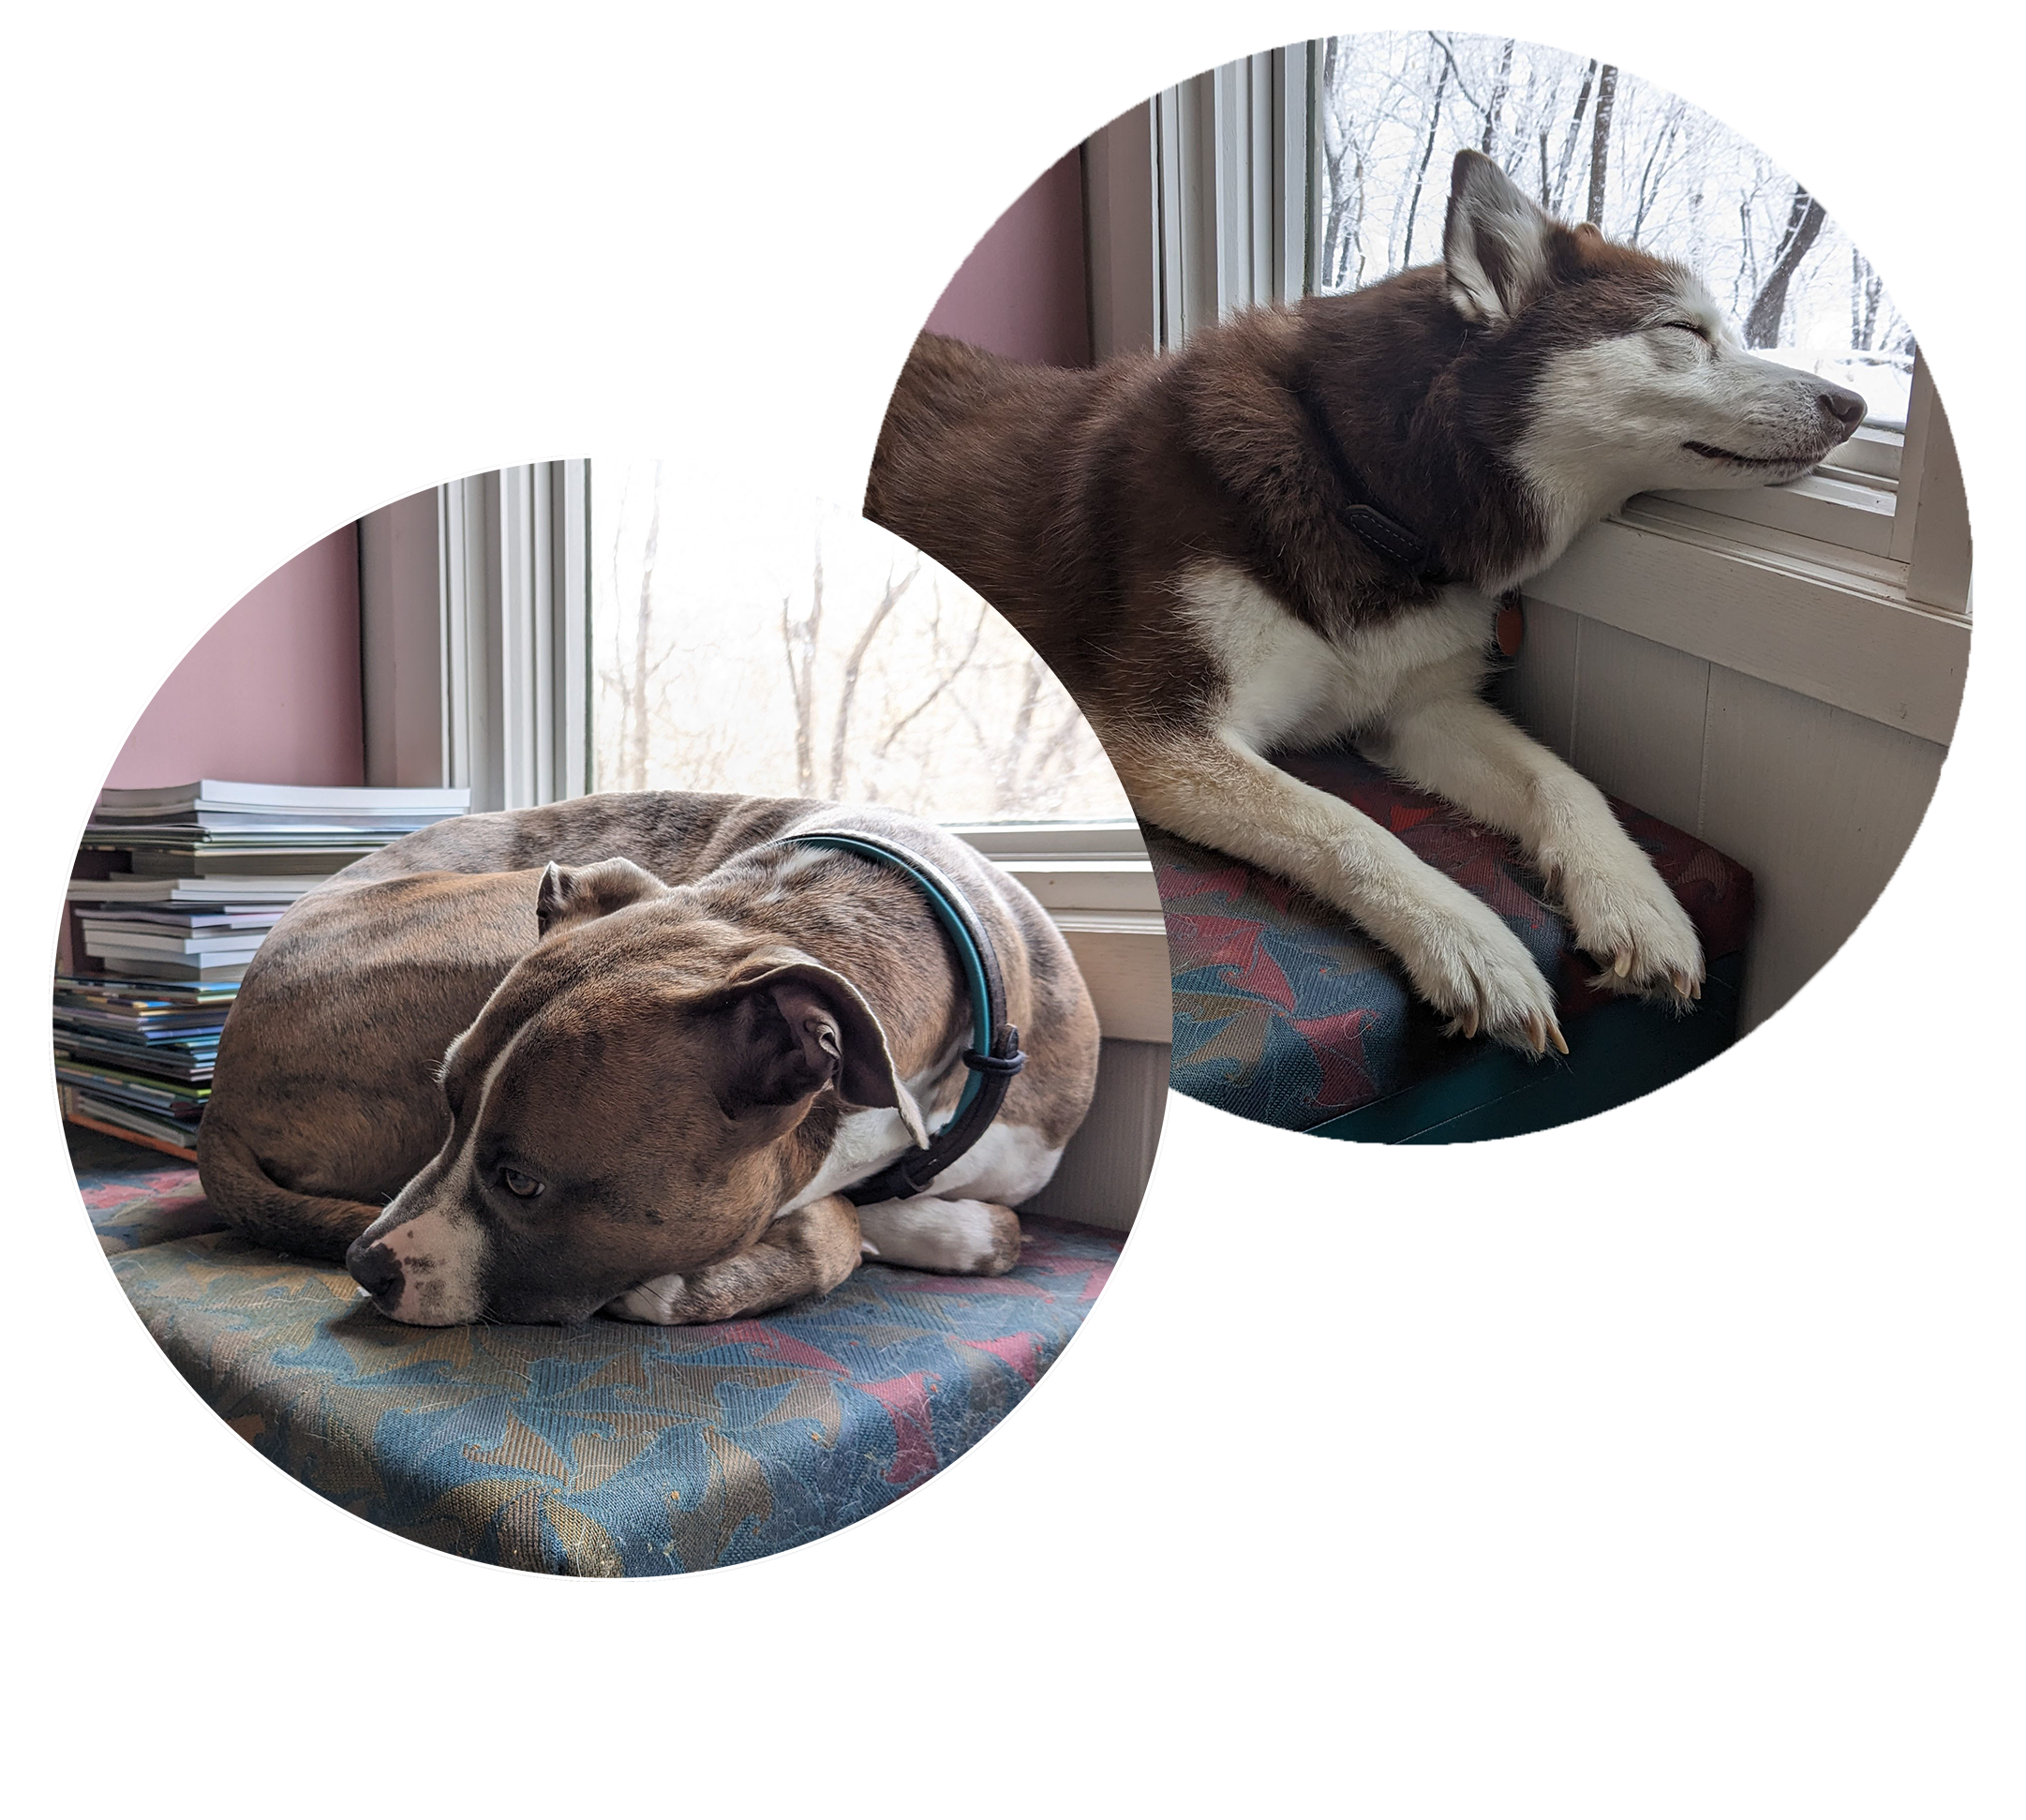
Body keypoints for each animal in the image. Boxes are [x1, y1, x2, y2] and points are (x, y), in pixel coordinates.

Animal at [197, 786, 1102, 1329]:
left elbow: (996, 1229)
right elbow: (845, 1227)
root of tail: (218, 1093)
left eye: (521, 1182)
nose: (363, 1265)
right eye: (445, 1107)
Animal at [863, 152, 1855, 1053]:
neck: (1360, 482)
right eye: (1685, 330)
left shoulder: (1417, 708)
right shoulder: (1155, 733)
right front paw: (1471, 943)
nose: (1850, 401)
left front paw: (1637, 901)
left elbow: (1564, 780)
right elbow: (1346, 824)